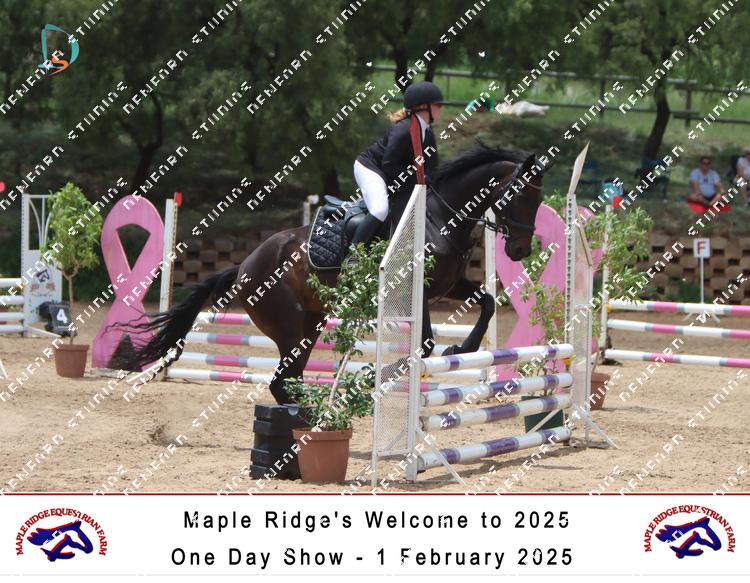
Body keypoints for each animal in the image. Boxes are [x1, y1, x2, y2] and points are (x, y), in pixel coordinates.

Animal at [125, 143, 548, 404]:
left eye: (539, 199)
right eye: (521, 195)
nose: (520, 251)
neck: (441, 216)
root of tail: (244, 265)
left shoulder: (451, 284)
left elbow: (487, 303)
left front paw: (463, 347)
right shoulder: (418, 289)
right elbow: (425, 342)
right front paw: (404, 367)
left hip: (309, 324)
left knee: (289, 377)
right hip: (286, 321)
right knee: (283, 378)